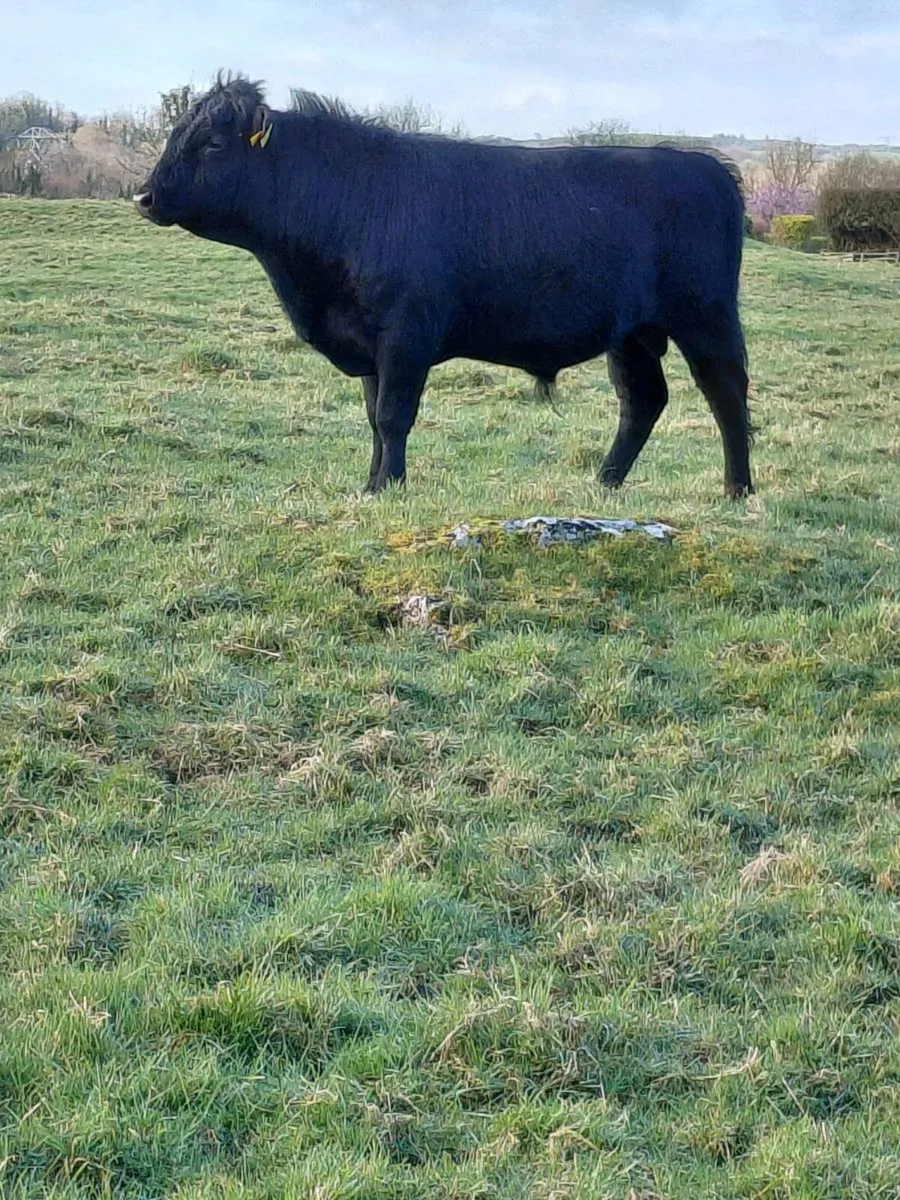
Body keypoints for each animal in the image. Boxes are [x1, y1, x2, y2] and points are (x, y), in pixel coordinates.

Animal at [135, 76, 754, 498]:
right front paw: (373, 483)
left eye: (213, 144)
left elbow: (393, 415)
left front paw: (386, 487)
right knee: (642, 400)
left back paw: (737, 490)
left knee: (726, 392)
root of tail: (705, 165)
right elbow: (374, 418)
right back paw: (604, 483)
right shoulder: (370, 345)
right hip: (632, 333)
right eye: (177, 134)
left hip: (705, 316)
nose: (144, 195)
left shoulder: (405, 335)